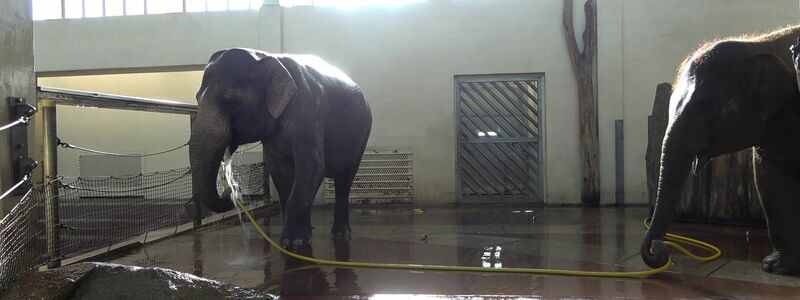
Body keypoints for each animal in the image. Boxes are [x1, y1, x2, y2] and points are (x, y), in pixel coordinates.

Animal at [189, 47, 374, 248]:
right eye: (197, 99)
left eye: (228, 102)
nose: (232, 190)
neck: (266, 57)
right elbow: (280, 172)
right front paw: (293, 239)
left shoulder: (308, 111)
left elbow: (313, 166)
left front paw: (294, 243)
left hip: (363, 133)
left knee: (344, 180)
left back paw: (341, 234)